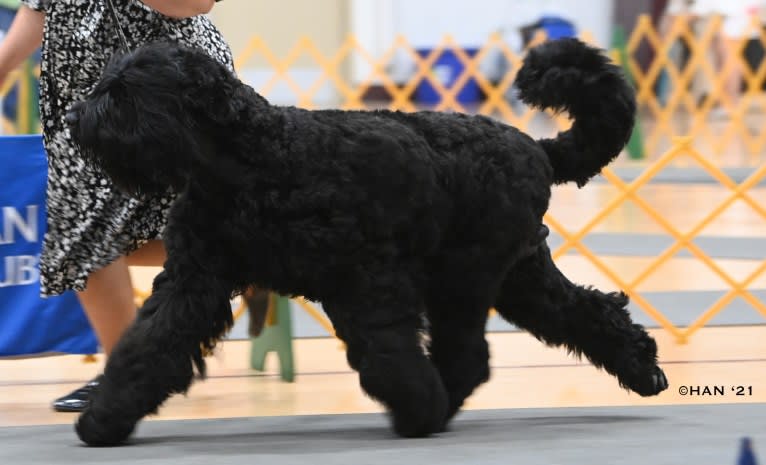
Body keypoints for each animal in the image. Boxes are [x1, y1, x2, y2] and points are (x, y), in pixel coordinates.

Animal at [66, 38, 668, 444]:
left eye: (125, 93)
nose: (76, 117)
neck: (250, 159)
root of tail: (537, 149)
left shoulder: (366, 280)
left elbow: (387, 349)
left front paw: (416, 404)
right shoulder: (194, 279)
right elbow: (149, 345)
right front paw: (103, 417)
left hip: (466, 278)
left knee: (470, 353)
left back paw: (432, 411)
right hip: (519, 278)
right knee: (587, 314)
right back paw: (643, 370)